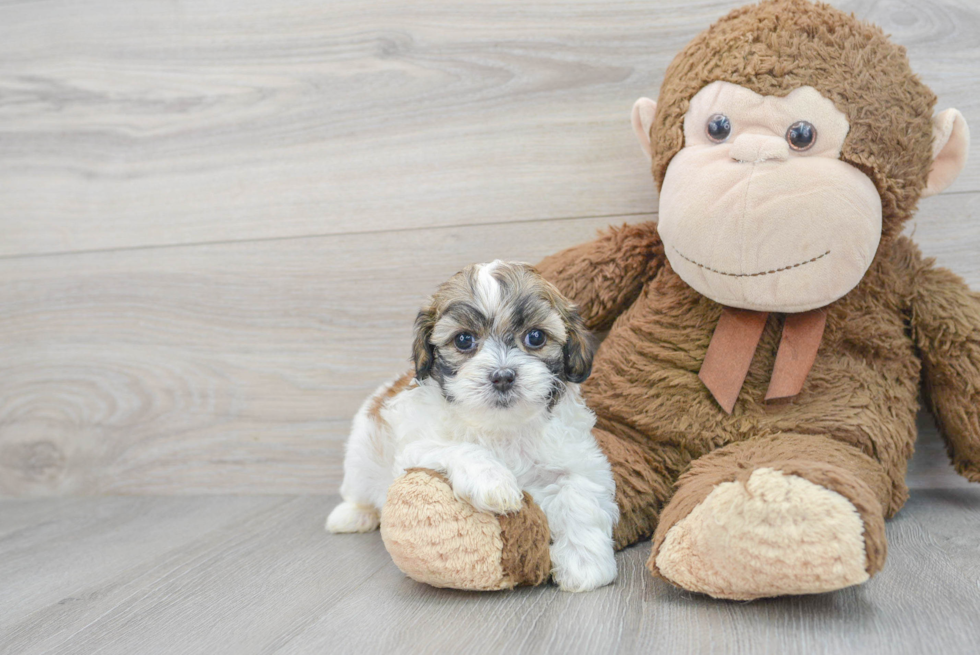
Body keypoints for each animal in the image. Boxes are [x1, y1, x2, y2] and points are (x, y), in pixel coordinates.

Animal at [330, 262, 620, 596]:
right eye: (464, 340)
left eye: (535, 337)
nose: (503, 376)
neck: (502, 426)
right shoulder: (416, 445)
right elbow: (461, 448)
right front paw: (493, 481)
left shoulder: (578, 457)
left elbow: (580, 495)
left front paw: (585, 564)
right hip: (360, 454)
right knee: (357, 491)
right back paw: (350, 516)